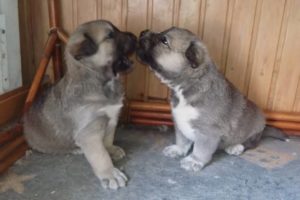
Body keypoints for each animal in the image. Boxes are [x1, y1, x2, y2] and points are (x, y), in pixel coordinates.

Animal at [24, 20, 137, 189]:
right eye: (110, 35)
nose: (136, 35)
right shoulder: (89, 132)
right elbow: (101, 155)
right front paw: (110, 173)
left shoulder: (111, 119)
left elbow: (108, 139)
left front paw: (111, 149)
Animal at [136, 27, 286, 172]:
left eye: (164, 41)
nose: (142, 32)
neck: (188, 85)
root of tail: (264, 128)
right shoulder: (180, 121)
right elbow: (182, 139)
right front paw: (178, 149)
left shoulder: (208, 132)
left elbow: (201, 149)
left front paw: (194, 161)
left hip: (254, 130)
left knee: (251, 143)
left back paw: (236, 146)